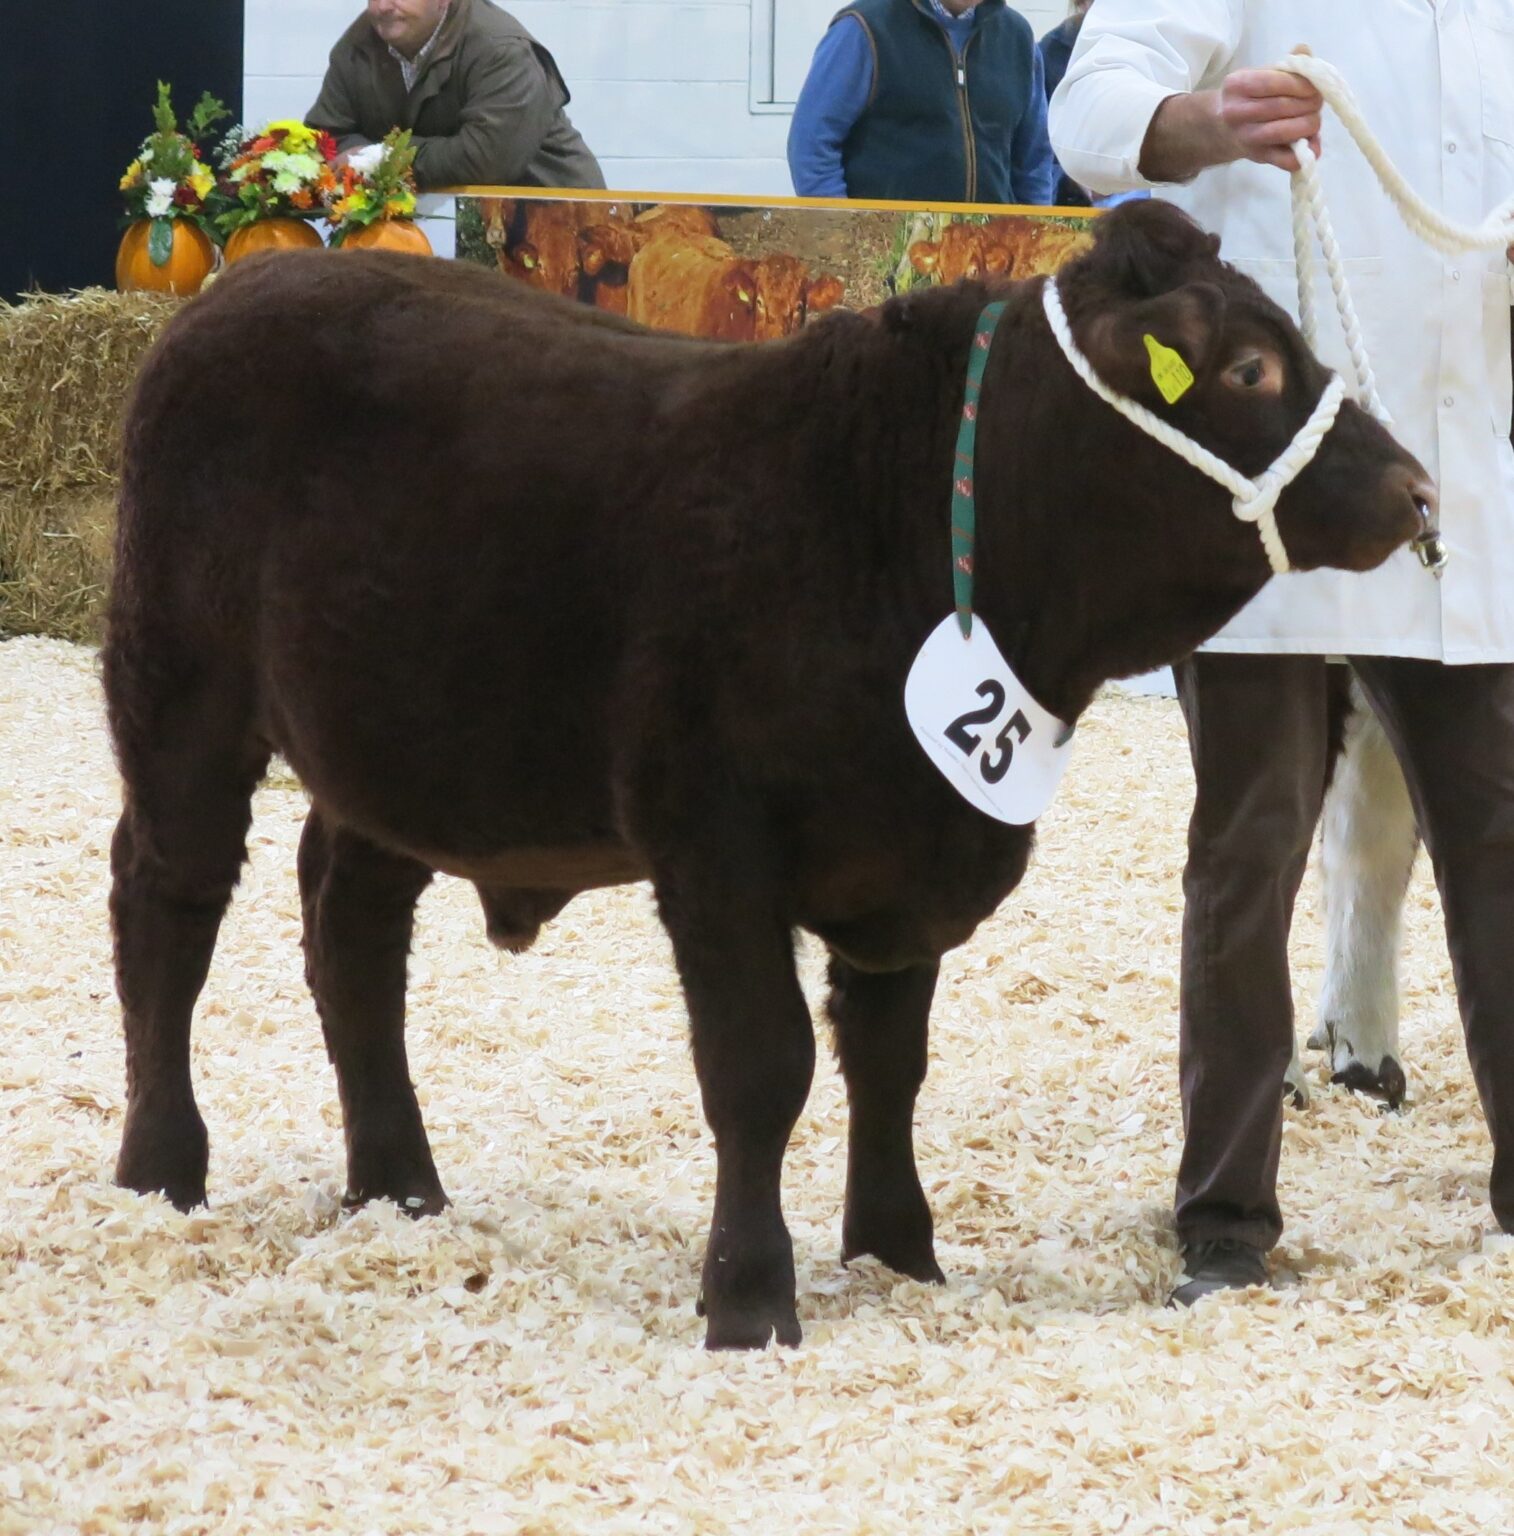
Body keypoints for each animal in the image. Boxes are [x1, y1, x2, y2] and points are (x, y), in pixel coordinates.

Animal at [103, 200, 1433, 1349]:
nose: (1414, 488)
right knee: (166, 901)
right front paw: (749, 1298)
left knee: (350, 928)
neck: (906, 524)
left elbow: (888, 1063)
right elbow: (760, 1069)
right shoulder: (715, 844)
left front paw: (899, 1255)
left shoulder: (908, 852)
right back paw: (161, 1168)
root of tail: (247, 288)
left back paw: (398, 1187)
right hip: (181, 691)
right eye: (1248, 370)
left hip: (395, 751)